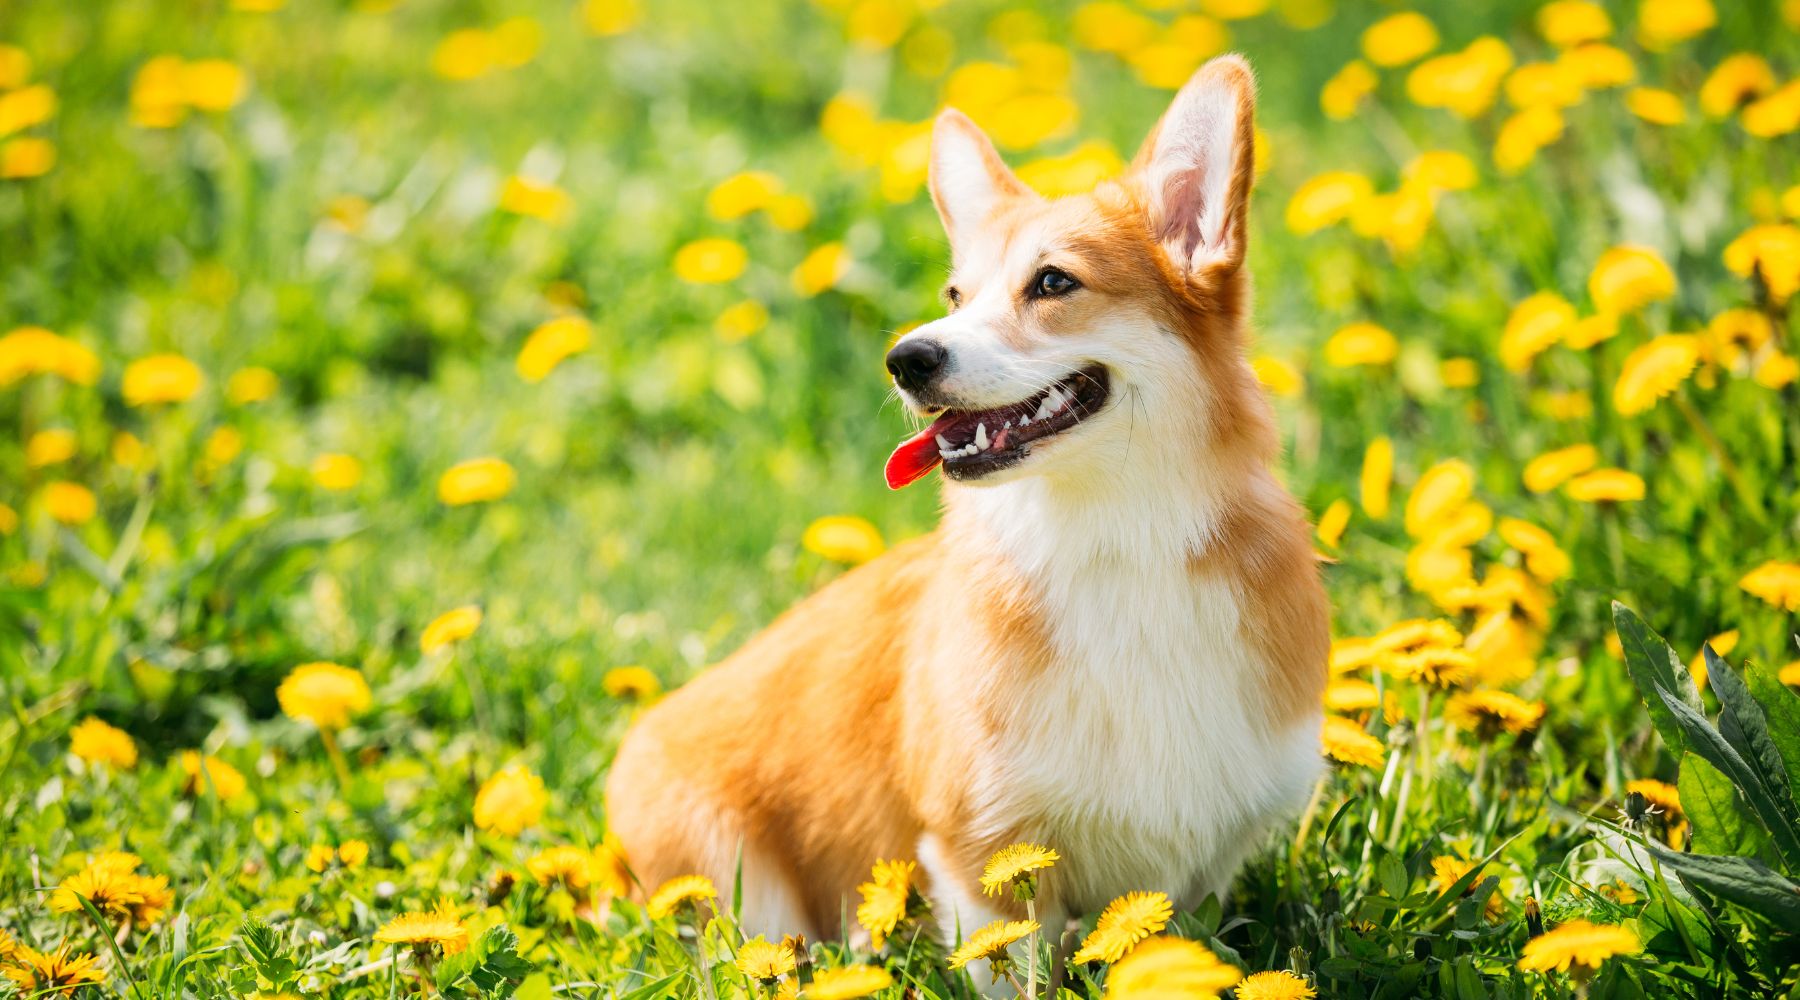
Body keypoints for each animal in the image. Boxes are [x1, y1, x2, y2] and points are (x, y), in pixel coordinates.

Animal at [612, 54, 1332, 942]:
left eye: (1053, 282)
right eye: (956, 296)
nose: (905, 359)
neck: (1111, 540)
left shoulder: (1205, 864)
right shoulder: (980, 849)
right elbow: (1011, 954)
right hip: (741, 890)